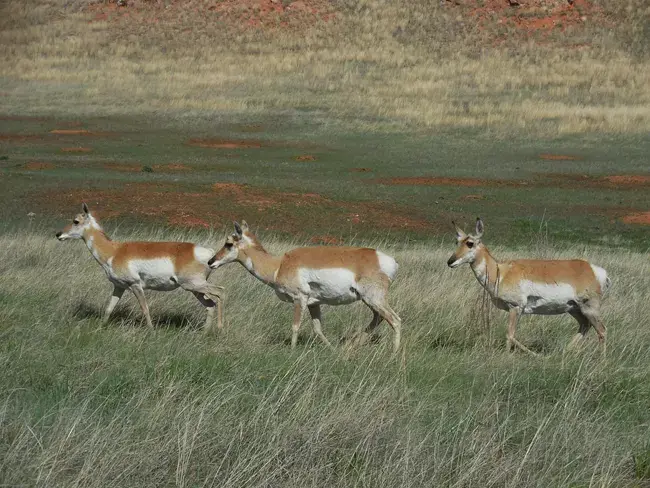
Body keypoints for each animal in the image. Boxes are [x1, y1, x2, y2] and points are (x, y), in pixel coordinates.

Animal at [56, 203, 224, 330]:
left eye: (76, 221)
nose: (58, 234)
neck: (114, 251)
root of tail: (208, 253)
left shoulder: (135, 285)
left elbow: (145, 308)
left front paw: (151, 330)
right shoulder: (119, 287)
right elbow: (109, 307)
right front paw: (101, 326)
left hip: (194, 285)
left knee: (220, 292)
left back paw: (219, 328)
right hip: (194, 289)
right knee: (210, 305)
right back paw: (205, 332)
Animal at [208, 221, 402, 351]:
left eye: (229, 243)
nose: (211, 262)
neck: (280, 265)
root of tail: (386, 260)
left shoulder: (299, 299)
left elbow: (295, 326)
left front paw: (292, 351)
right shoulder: (314, 303)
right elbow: (317, 329)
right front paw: (332, 349)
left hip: (374, 299)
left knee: (395, 320)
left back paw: (394, 353)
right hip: (370, 301)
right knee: (379, 318)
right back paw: (352, 344)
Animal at [447, 218, 610, 355]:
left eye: (470, 243)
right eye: (457, 242)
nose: (450, 261)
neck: (501, 271)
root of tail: (593, 269)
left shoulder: (515, 307)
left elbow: (510, 335)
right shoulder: (517, 310)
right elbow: (511, 335)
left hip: (589, 308)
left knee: (602, 330)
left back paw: (600, 360)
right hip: (574, 309)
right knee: (585, 326)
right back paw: (563, 352)